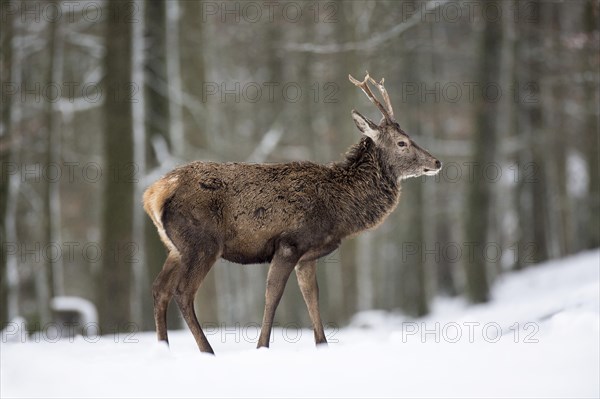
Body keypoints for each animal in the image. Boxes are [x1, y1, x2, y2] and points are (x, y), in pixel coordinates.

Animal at [142, 72, 440, 354]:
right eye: (402, 142)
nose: (436, 161)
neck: (339, 210)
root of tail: (154, 193)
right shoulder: (290, 243)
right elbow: (273, 295)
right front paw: (262, 347)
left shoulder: (307, 255)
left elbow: (312, 297)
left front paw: (322, 345)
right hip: (202, 243)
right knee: (182, 291)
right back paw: (207, 351)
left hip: (176, 248)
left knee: (159, 289)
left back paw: (163, 349)